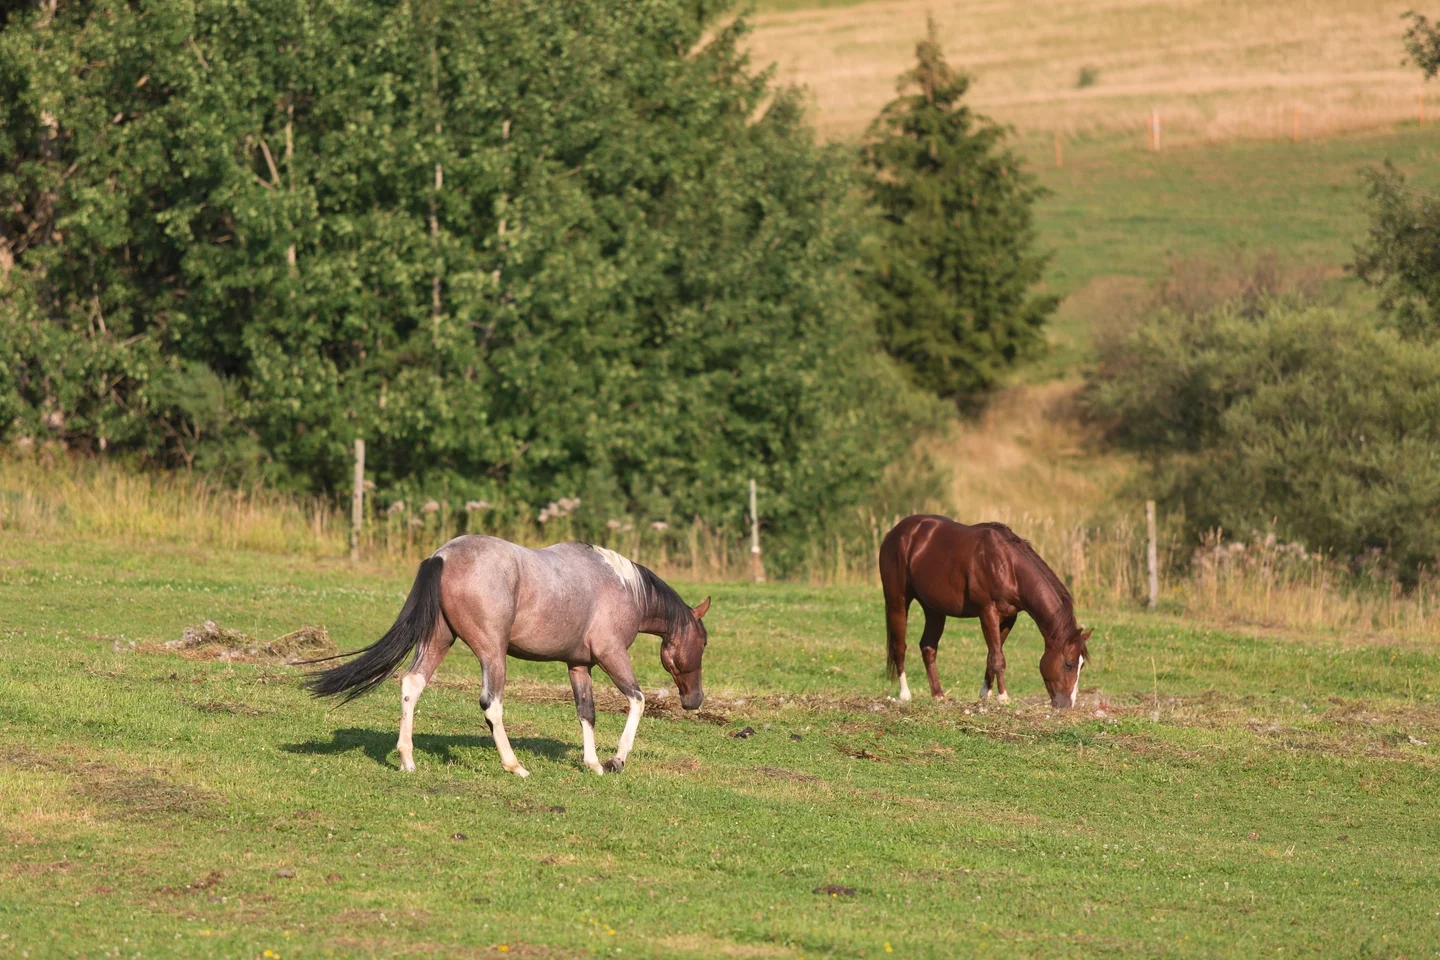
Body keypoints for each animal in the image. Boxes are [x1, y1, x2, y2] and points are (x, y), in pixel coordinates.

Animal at [305, 536, 710, 777]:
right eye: (704, 642)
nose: (695, 700)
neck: (622, 586)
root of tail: (442, 556)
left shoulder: (579, 665)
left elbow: (587, 713)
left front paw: (593, 763)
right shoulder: (612, 655)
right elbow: (637, 700)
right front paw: (616, 760)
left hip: (438, 641)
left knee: (411, 684)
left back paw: (407, 760)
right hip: (492, 652)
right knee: (492, 703)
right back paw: (514, 765)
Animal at [878, 515, 1091, 708]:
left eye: (1081, 665)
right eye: (1069, 664)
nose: (1066, 705)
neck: (1008, 566)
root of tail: (895, 533)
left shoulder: (1009, 617)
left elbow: (992, 655)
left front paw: (985, 694)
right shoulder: (988, 611)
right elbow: (998, 658)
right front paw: (1003, 697)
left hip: (934, 609)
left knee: (928, 647)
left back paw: (938, 695)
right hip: (897, 601)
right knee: (899, 646)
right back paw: (905, 694)